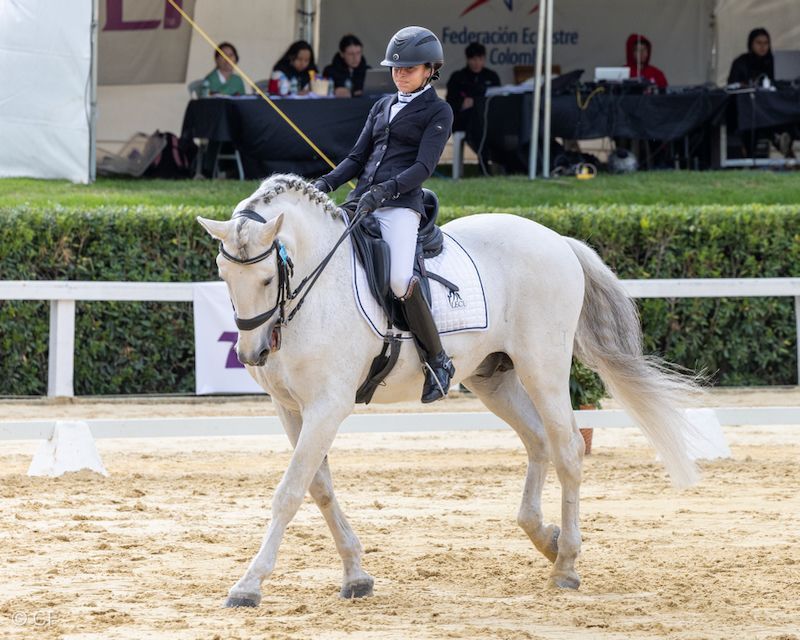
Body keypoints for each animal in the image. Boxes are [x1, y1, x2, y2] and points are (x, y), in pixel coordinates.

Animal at [197, 174, 699, 607]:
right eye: (223, 273)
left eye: (267, 278)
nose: (252, 353)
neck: (315, 289)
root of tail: (557, 240)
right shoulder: (291, 408)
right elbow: (319, 488)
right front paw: (356, 575)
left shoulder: (327, 407)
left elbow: (289, 492)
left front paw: (248, 585)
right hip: (492, 376)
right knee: (538, 441)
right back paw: (546, 538)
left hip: (544, 369)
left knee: (569, 449)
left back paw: (567, 565)